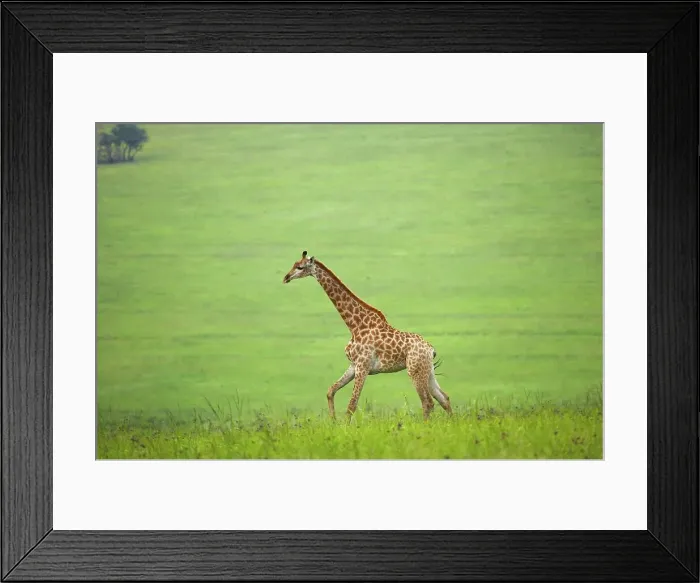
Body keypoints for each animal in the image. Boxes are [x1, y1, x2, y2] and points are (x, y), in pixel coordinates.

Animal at [283, 251, 452, 421]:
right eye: (293, 264)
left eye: (300, 267)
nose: (286, 278)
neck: (355, 326)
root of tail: (431, 349)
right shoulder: (353, 365)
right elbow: (331, 391)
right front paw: (333, 421)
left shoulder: (363, 367)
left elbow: (351, 405)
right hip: (427, 370)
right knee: (444, 398)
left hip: (414, 370)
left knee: (428, 402)